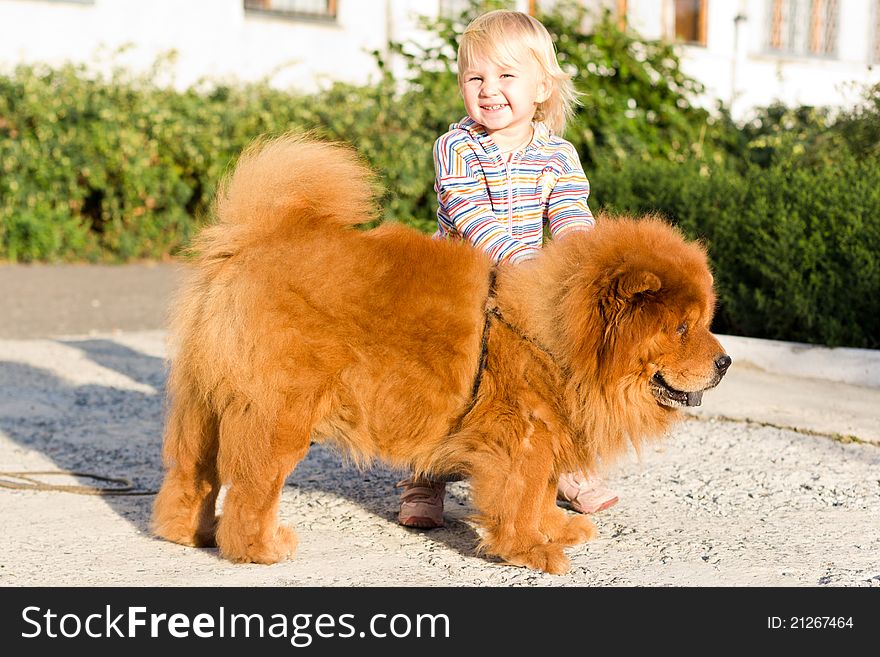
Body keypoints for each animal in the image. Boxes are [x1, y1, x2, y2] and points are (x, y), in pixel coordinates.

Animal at [153, 136, 728, 572]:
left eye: (705, 322)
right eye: (681, 328)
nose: (724, 362)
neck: (554, 334)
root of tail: (248, 244)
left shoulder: (548, 432)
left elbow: (543, 492)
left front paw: (558, 529)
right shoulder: (523, 436)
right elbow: (521, 498)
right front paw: (532, 550)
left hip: (204, 403)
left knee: (193, 474)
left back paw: (189, 534)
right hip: (279, 415)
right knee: (252, 490)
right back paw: (263, 548)